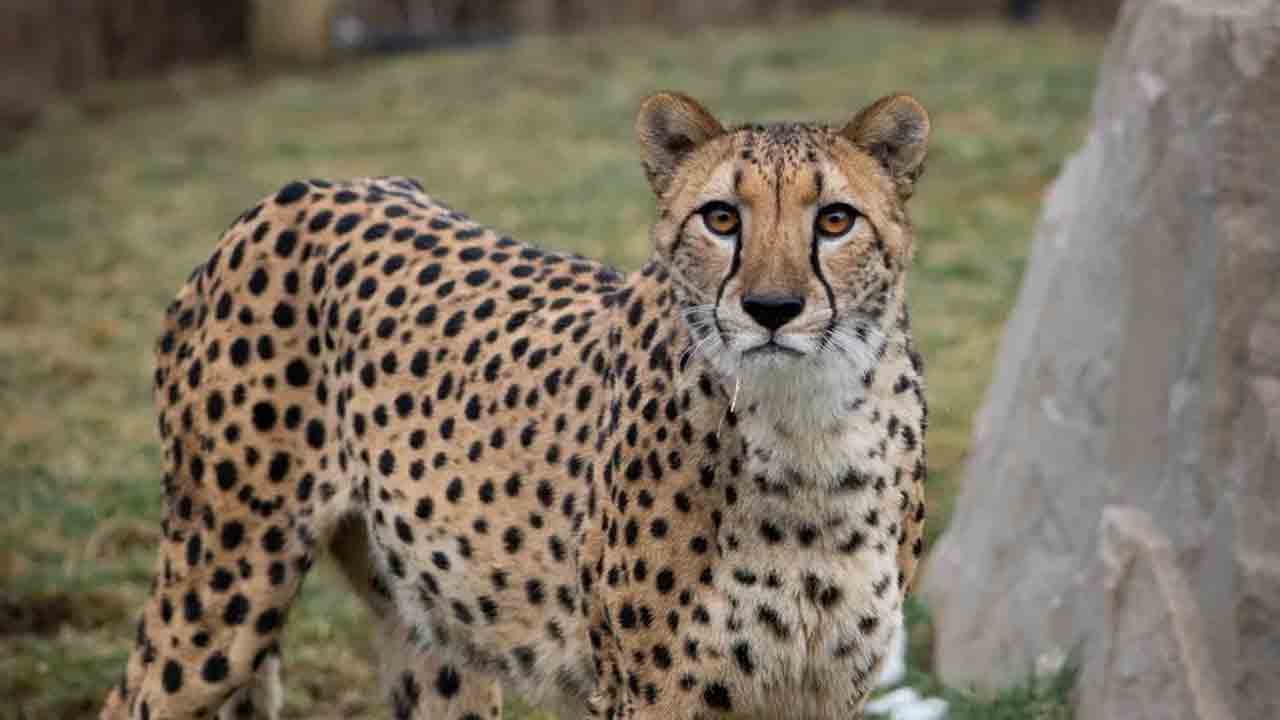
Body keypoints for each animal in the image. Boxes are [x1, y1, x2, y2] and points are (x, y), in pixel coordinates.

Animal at [100, 91, 930, 720]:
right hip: (225, 580)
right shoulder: (650, 694)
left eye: (835, 219)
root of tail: (301, 191)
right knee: (131, 697)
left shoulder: (826, 691)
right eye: (721, 217)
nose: (772, 308)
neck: (808, 431)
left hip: (429, 625)